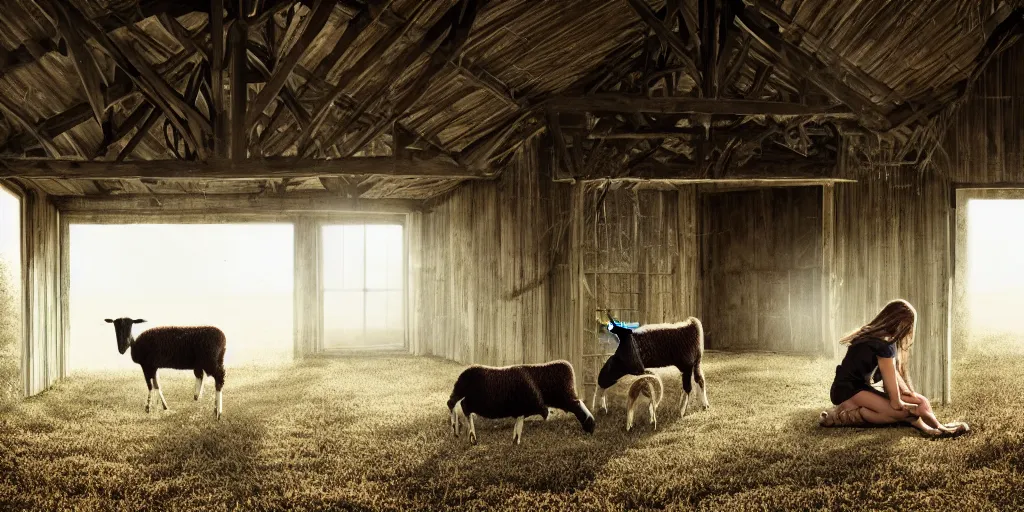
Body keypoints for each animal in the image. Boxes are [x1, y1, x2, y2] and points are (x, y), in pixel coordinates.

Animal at [446, 360, 598, 444]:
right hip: (473, 401)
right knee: (458, 406)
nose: (592, 431)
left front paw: (515, 442)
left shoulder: (522, 409)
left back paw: (457, 432)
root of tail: (462, 376)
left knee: (454, 405)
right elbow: (519, 427)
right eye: (586, 419)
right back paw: (470, 436)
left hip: (465, 397)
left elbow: (518, 428)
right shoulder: (528, 406)